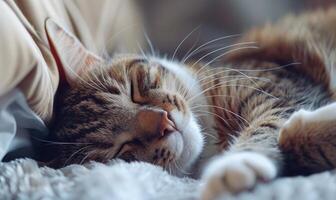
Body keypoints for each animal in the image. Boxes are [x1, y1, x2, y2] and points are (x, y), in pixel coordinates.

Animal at [46, 6, 336, 200]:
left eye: (132, 90)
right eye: (120, 150)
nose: (164, 123)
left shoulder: (281, 89)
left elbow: (272, 129)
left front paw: (236, 162)